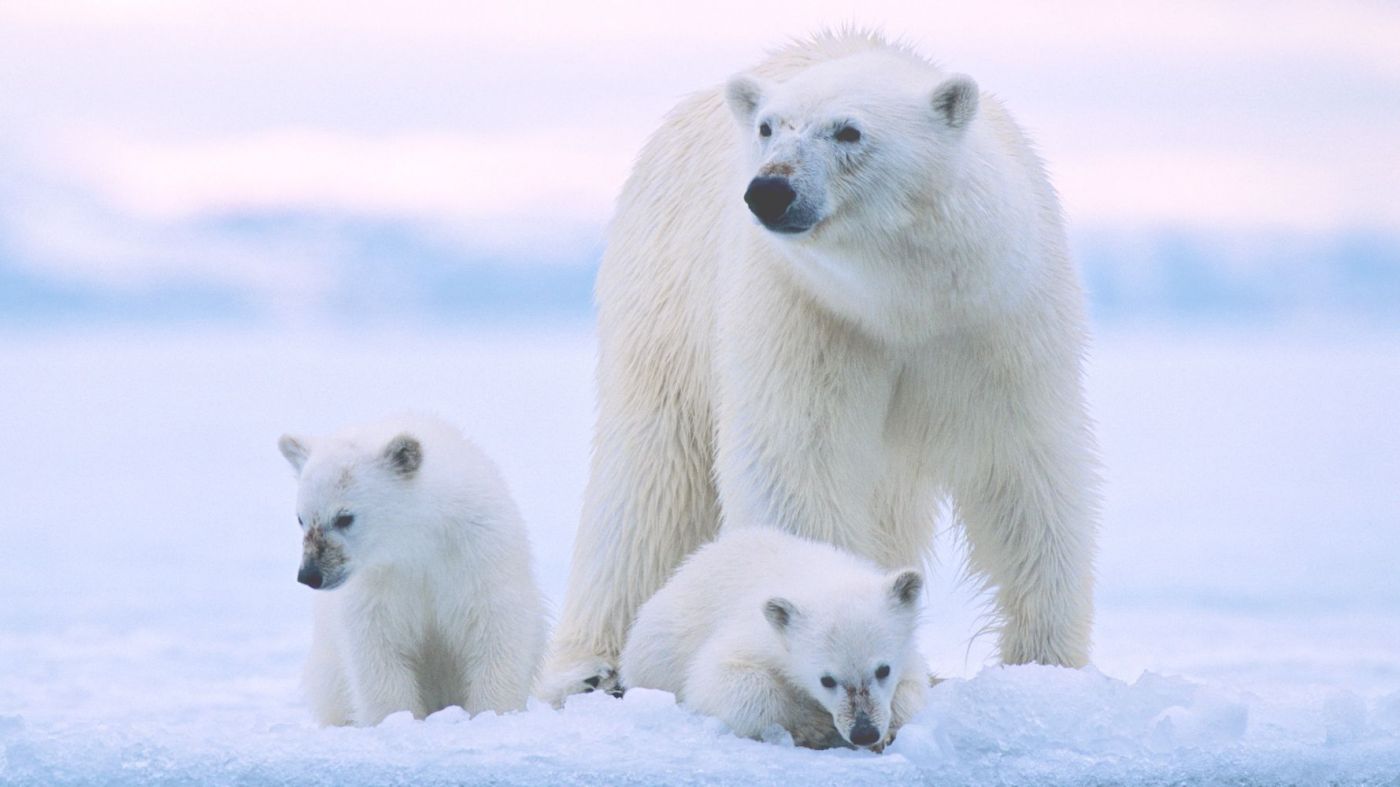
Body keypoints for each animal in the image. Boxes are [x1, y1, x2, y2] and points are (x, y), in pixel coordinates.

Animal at [540, 30, 1097, 700]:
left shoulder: (996, 320)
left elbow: (1023, 467)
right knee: (649, 482)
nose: (769, 189)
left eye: (848, 131)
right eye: (767, 127)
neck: (901, 301)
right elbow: (797, 458)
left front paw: (1044, 668)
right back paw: (592, 670)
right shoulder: (803, 311)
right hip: (665, 296)